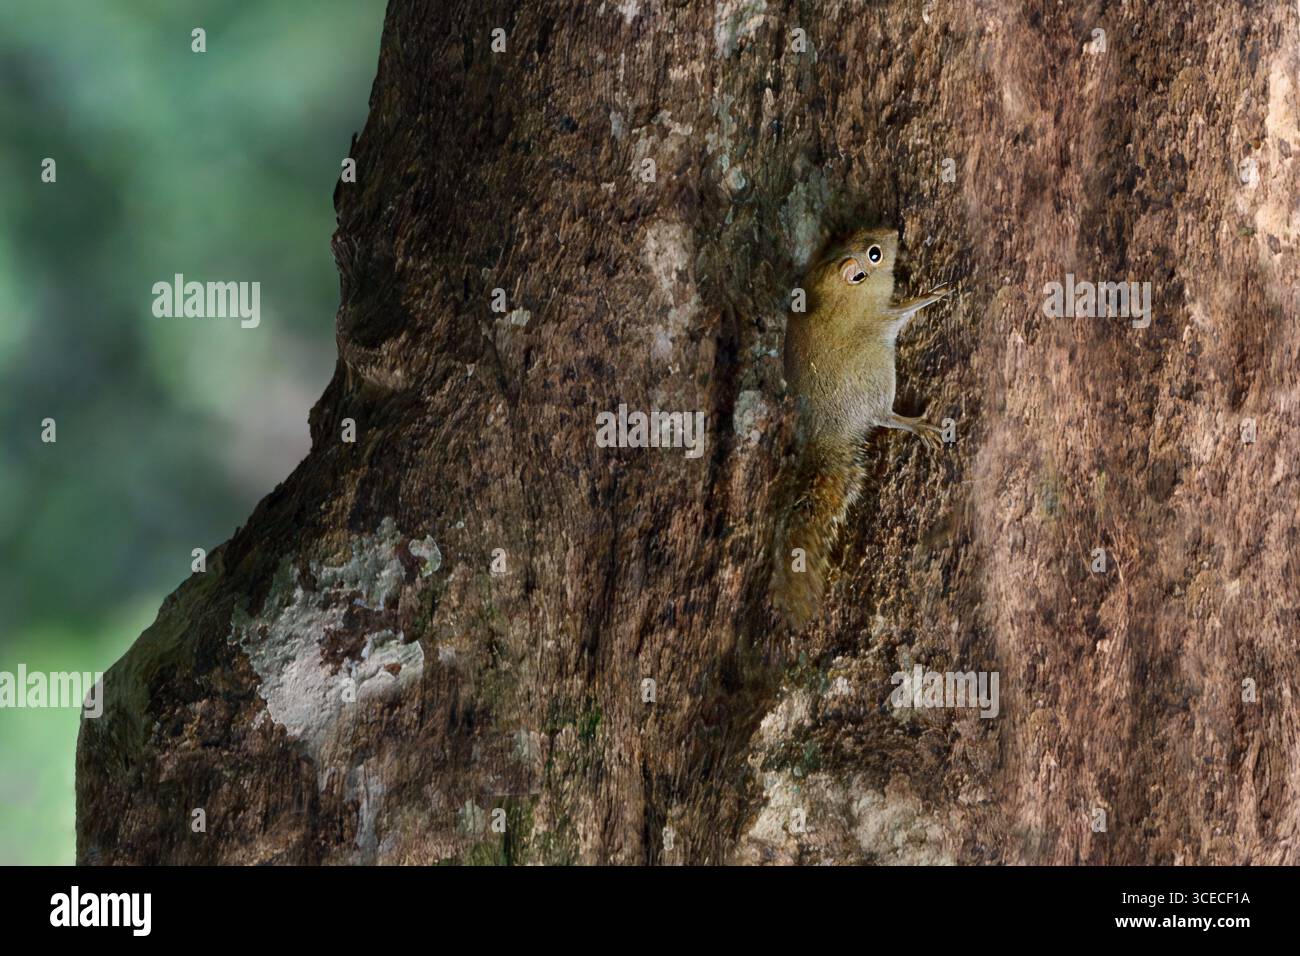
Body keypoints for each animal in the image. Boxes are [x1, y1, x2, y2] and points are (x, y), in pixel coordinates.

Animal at [770, 226, 950, 629]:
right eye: (875, 254)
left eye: (852, 234)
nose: (895, 231)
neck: (841, 292)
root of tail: (829, 433)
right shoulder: (879, 320)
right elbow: (901, 313)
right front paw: (931, 295)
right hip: (878, 380)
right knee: (883, 416)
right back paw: (916, 425)